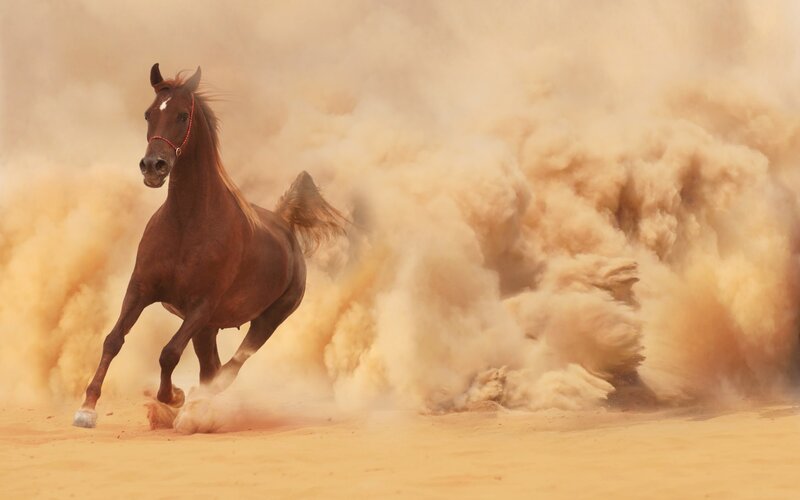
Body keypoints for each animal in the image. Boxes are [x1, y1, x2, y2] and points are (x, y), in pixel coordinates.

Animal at [73, 63, 346, 428]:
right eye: (149, 113)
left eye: (182, 115)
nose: (153, 166)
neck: (186, 223)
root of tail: (284, 224)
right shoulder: (141, 289)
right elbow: (113, 340)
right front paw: (87, 409)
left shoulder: (201, 305)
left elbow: (169, 353)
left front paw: (174, 397)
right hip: (209, 329)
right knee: (211, 367)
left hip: (267, 320)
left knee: (229, 369)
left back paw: (195, 408)